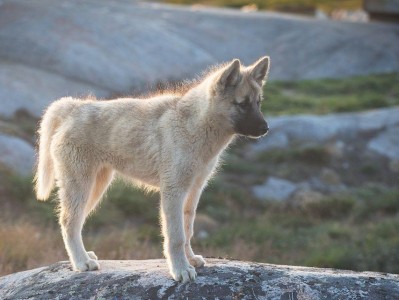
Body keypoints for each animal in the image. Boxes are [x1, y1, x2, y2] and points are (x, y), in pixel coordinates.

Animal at [35, 55, 272, 282]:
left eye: (258, 102)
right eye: (242, 104)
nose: (265, 129)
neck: (194, 125)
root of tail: (73, 107)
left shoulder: (193, 191)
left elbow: (187, 229)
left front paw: (190, 260)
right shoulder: (173, 191)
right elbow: (175, 236)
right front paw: (180, 270)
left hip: (95, 187)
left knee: (76, 222)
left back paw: (84, 256)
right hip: (80, 185)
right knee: (68, 222)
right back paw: (81, 262)